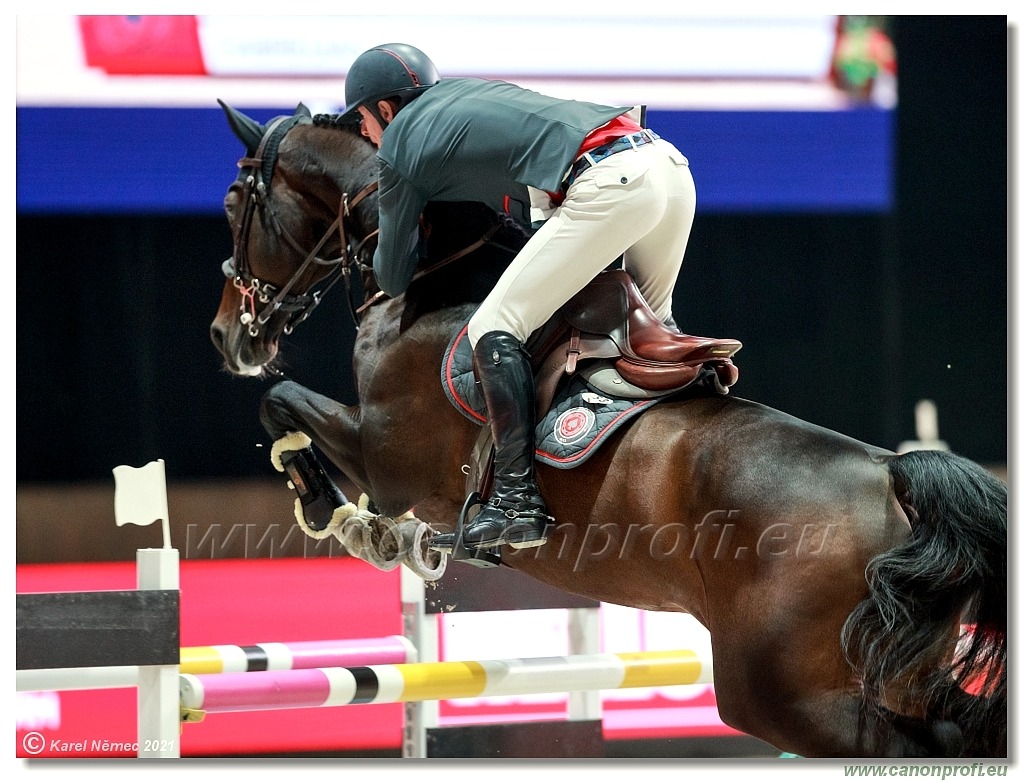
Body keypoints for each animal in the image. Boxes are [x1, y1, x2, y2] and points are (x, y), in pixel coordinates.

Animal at [209, 103, 1007, 757]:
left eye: (232, 205)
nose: (228, 337)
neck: (431, 280)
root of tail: (893, 474)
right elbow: (283, 401)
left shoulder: (386, 460)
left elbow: (281, 402)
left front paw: (346, 520)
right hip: (883, 673)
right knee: (956, 724)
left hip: (784, 695)